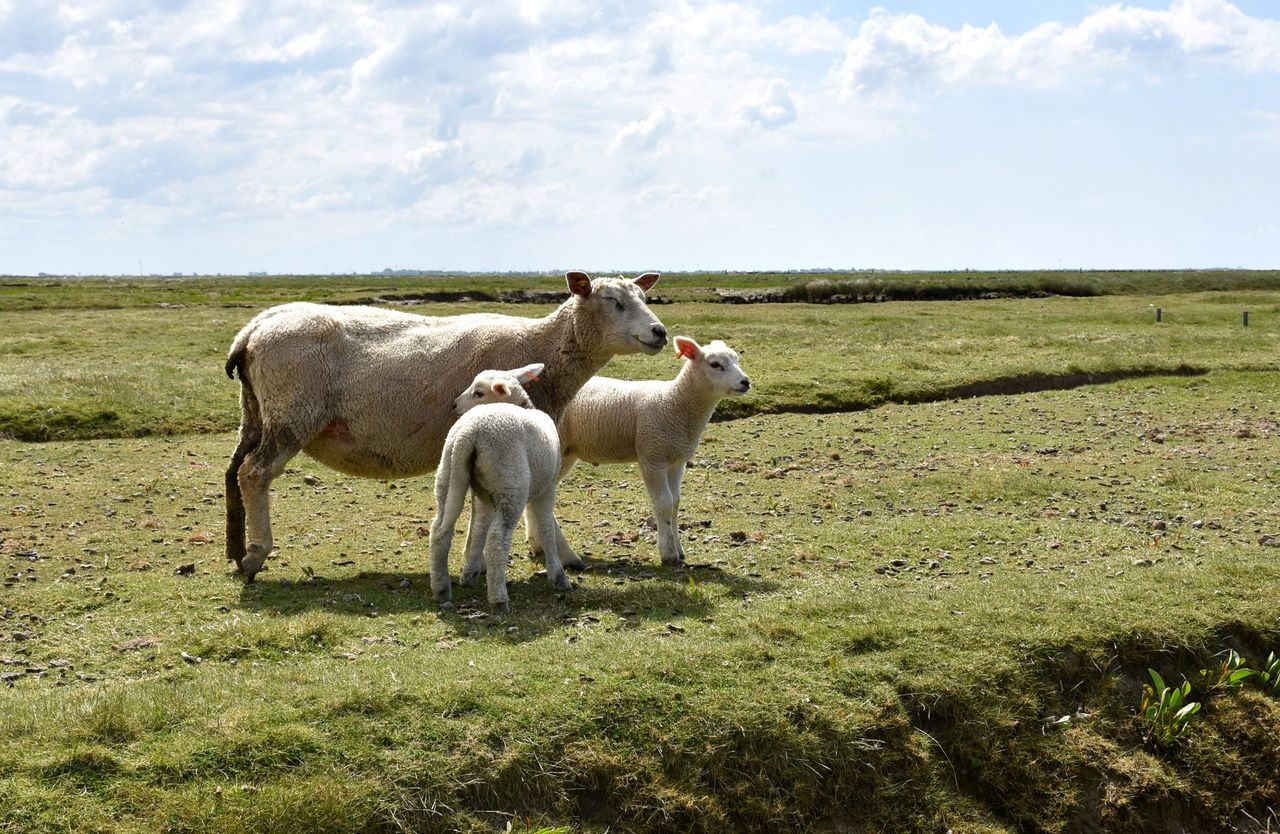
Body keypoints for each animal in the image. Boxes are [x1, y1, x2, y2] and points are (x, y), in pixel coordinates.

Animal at [224, 271, 666, 581]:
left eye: (644, 297)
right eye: (613, 301)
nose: (660, 332)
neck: (542, 347)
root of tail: (253, 329)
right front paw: (564, 556)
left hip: (256, 410)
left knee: (233, 471)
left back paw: (235, 550)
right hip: (292, 412)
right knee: (254, 472)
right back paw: (256, 553)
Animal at [430, 364, 565, 612]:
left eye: (478, 393)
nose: (453, 405)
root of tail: (468, 434)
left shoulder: (484, 495)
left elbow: (478, 529)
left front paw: (469, 574)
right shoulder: (548, 487)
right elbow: (546, 528)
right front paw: (558, 576)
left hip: (449, 476)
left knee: (440, 532)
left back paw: (442, 590)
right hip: (512, 485)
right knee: (496, 538)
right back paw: (499, 599)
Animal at [542, 336, 751, 567]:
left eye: (737, 359)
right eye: (715, 364)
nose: (745, 382)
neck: (675, 402)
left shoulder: (676, 461)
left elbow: (675, 502)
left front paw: (679, 548)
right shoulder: (652, 456)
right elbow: (664, 502)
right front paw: (668, 552)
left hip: (567, 453)